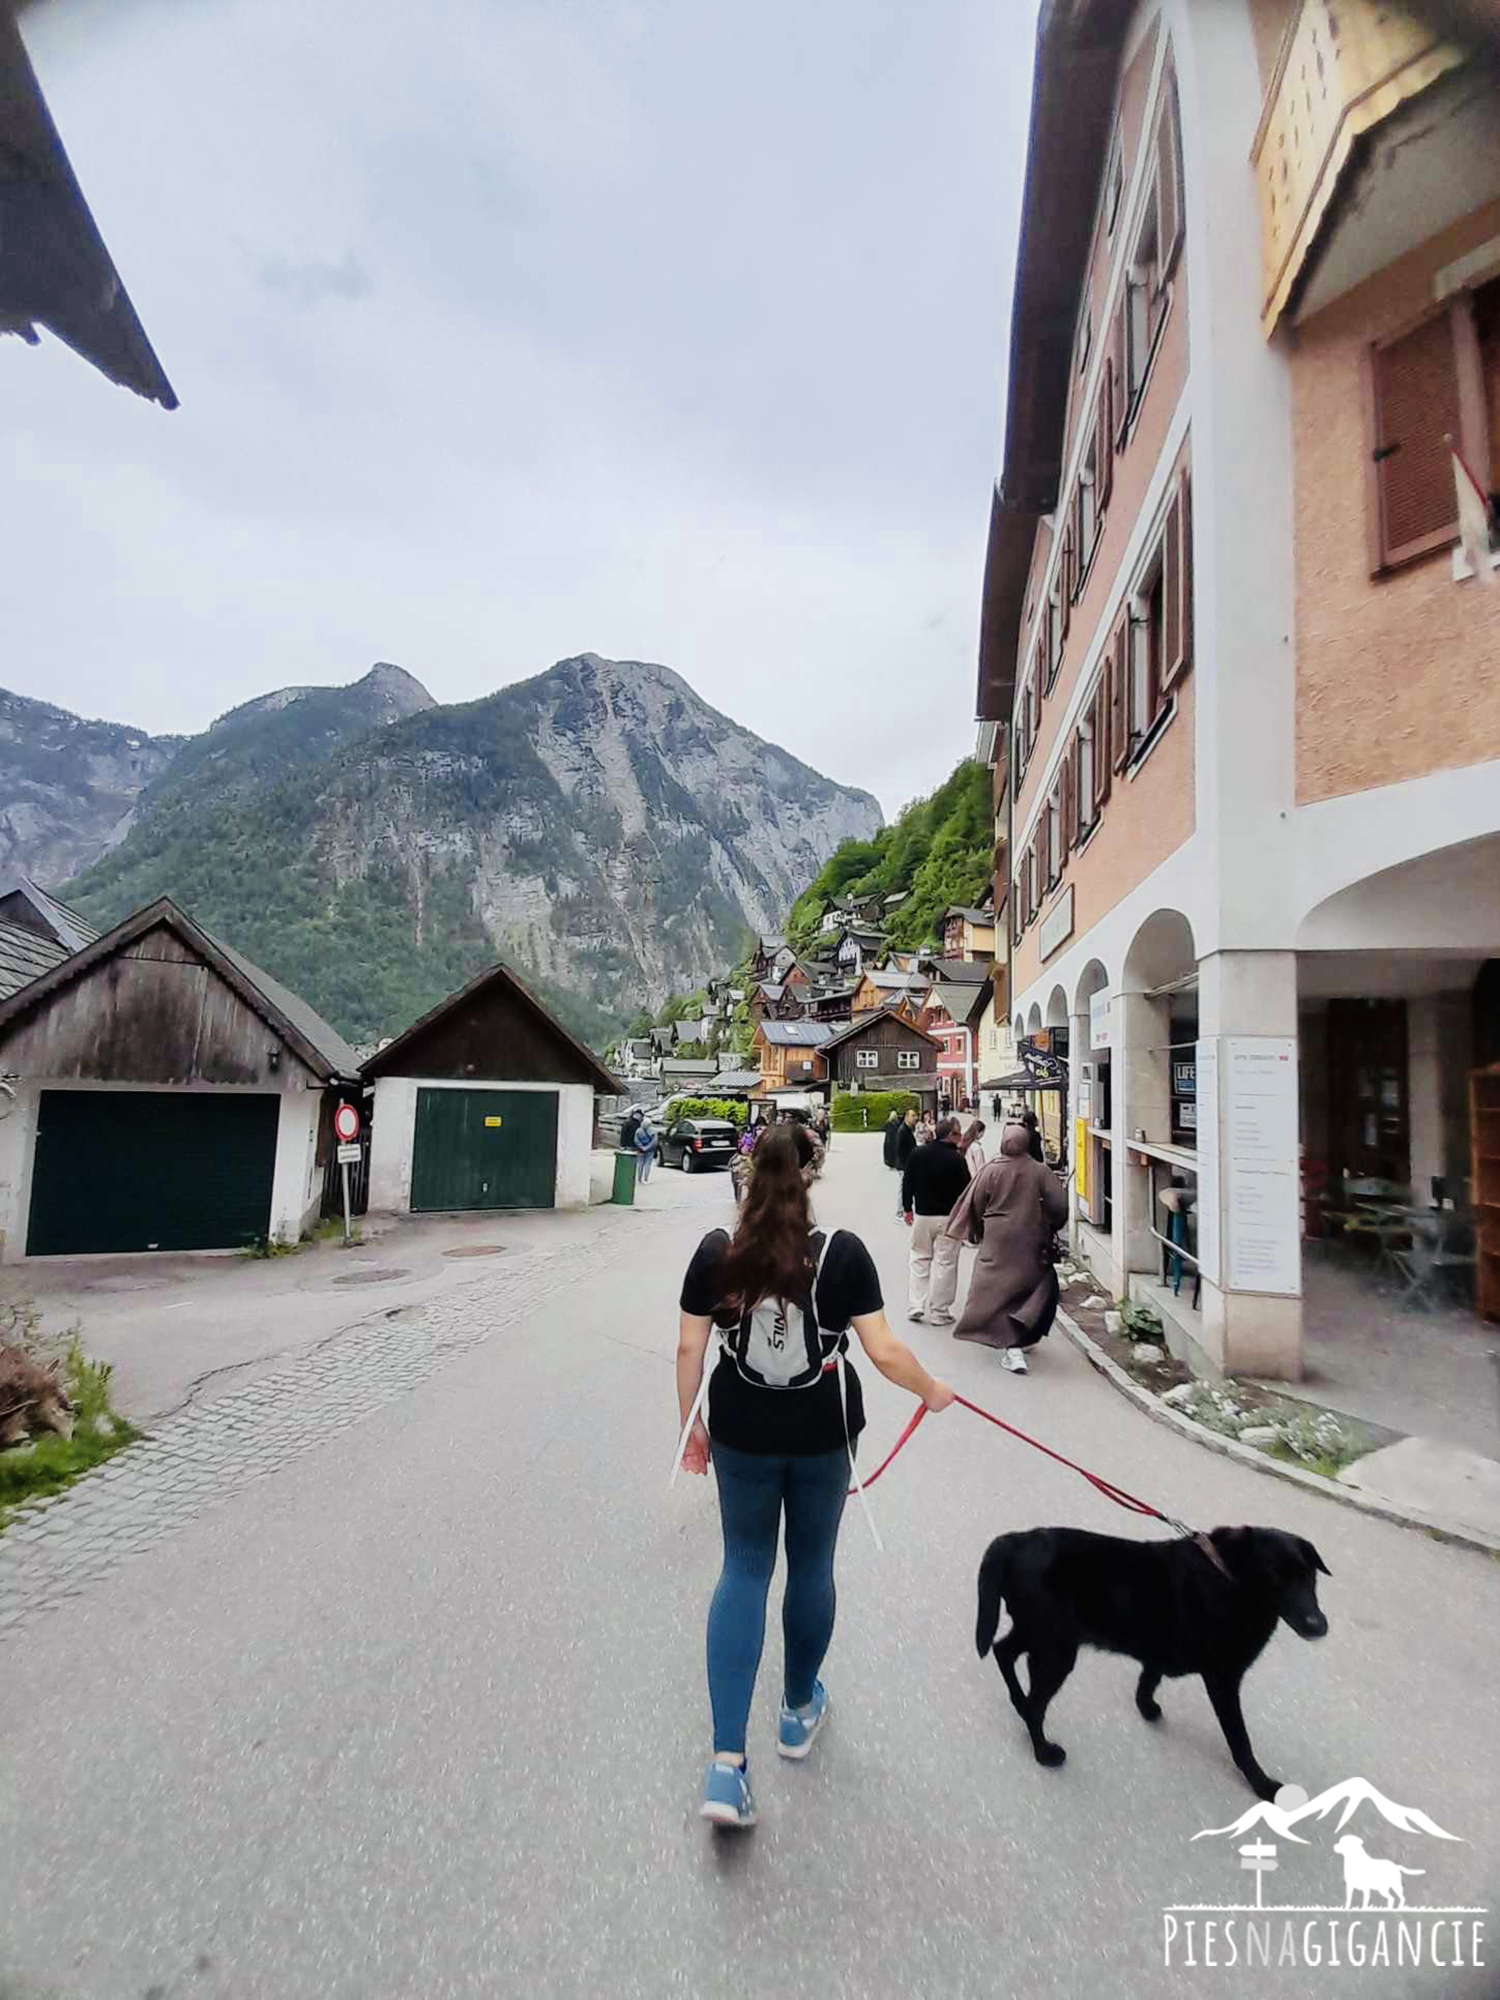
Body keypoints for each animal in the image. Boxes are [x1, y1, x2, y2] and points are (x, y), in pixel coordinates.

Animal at [980, 1520, 1336, 1808]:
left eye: (1309, 1577)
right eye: (1276, 1578)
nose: (1318, 1625)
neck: (1229, 1577)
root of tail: (1015, 1540)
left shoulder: (1161, 1650)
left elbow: (1149, 1677)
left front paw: (1146, 1707)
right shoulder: (1223, 1678)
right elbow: (1240, 1739)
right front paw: (1263, 1784)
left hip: (1037, 1633)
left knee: (1002, 1651)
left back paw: (1018, 1701)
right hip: (1055, 1650)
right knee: (1035, 1703)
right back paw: (1043, 1751)